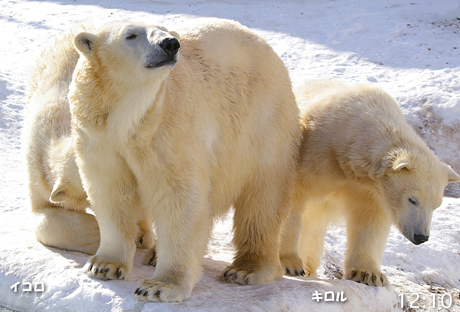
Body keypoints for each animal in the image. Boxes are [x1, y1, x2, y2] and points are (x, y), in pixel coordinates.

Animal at [66, 19, 300, 302]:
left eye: (166, 31)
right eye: (130, 35)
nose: (170, 44)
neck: (128, 122)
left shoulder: (168, 131)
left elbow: (179, 197)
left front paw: (160, 286)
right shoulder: (99, 138)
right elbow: (111, 192)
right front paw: (103, 265)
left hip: (263, 125)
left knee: (263, 198)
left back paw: (246, 269)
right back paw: (155, 255)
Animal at [278, 80, 460, 288]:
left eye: (436, 205)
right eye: (412, 199)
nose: (421, 237)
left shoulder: (370, 189)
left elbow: (370, 220)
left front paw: (368, 274)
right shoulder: (314, 154)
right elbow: (293, 197)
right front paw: (289, 262)